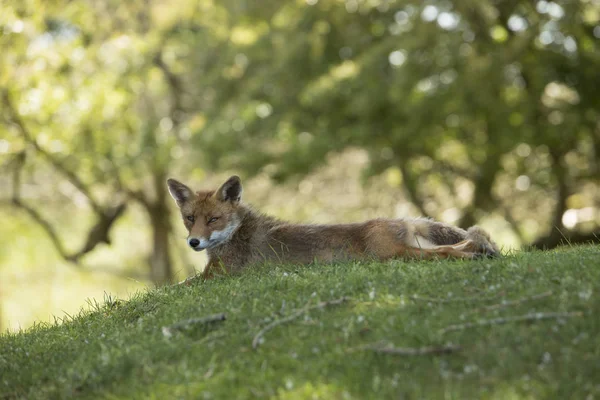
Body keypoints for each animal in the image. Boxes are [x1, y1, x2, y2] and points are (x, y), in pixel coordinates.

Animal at [166, 175, 500, 278]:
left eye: (213, 219)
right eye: (189, 218)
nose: (193, 242)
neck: (237, 233)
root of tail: (403, 219)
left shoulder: (216, 277)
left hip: (393, 254)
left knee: (450, 250)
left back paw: (477, 254)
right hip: (409, 250)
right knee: (463, 242)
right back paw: (483, 251)